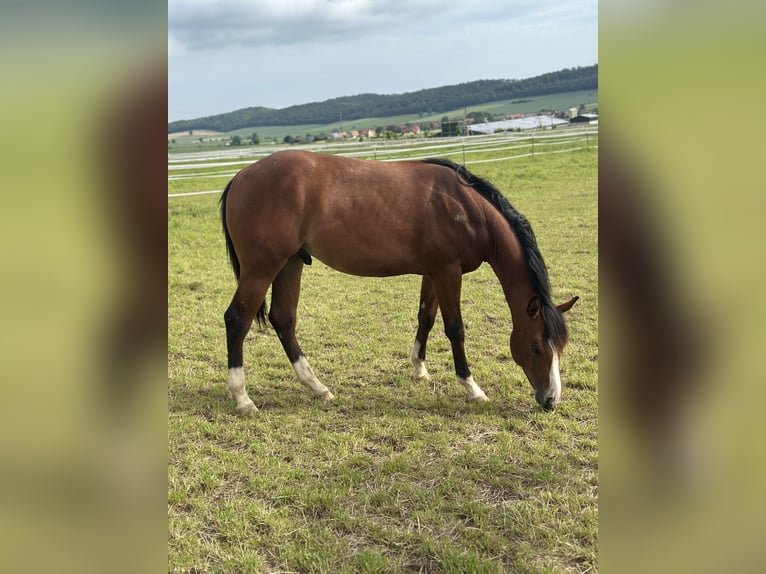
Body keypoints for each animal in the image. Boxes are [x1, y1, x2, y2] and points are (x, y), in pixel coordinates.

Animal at [220, 150, 578, 415]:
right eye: (535, 346)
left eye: (561, 346)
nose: (551, 400)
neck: (465, 207)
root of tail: (241, 176)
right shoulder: (448, 272)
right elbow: (455, 329)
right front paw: (472, 388)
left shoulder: (434, 272)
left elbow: (426, 318)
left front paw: (419, 368)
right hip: (262, 268)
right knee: (237, 320)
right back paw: (243, 398)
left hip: (290, 263)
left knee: (284, 320)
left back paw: (318, 387)